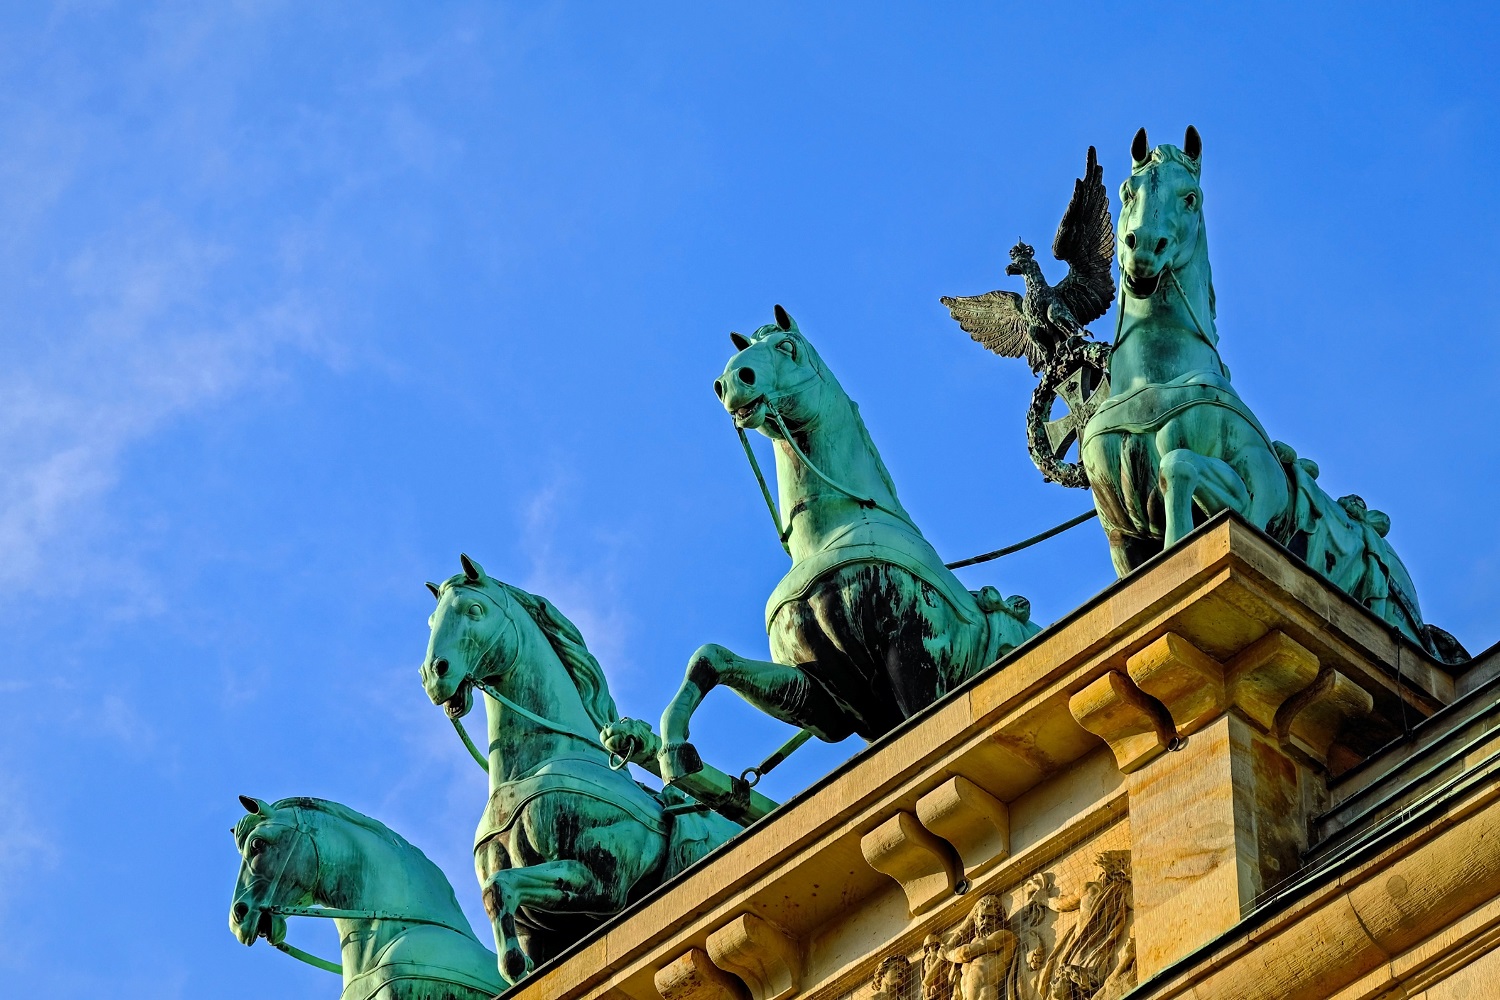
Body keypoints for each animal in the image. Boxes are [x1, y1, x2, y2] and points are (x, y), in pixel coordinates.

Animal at [417, 554, 738, 983]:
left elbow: (499, 887)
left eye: (474, 609)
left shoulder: (602, 883)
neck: (534, 766)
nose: (434, 674)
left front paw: (514, 965)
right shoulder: (535, 928)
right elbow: (499, 898)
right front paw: (517, 969)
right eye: (431, 621)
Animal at [657, 307, 1044, 779]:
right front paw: (674, 749)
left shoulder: (915, 653)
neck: (826, 538)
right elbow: (711, 657)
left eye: (787, 346)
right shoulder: (829, 700)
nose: (731, 381)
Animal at [1086, 128, 1458, 659]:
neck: (1154, 377)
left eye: (1191, 196)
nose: (1144, 253)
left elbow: (1177, 463)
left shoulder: (1254, 502)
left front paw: (1178, 545)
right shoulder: (1121, 535)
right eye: (1125, 192)